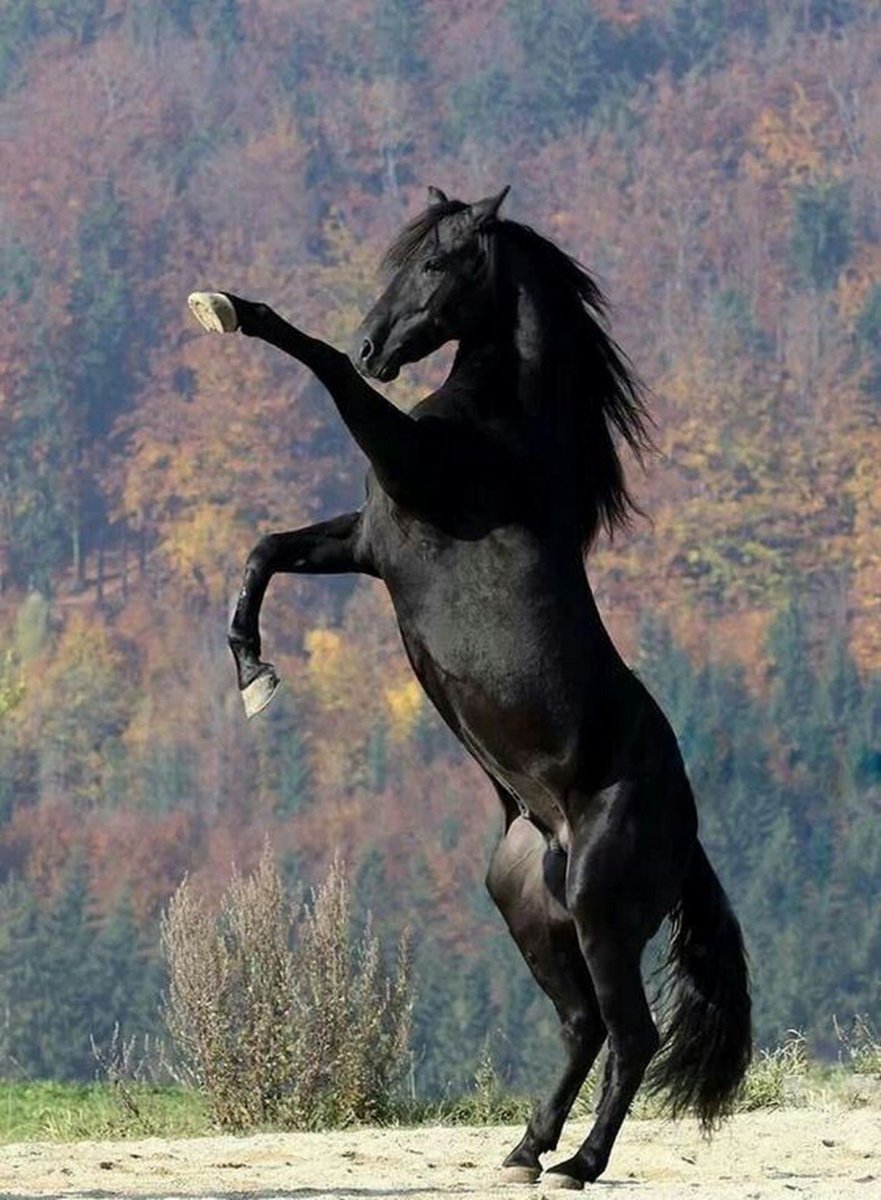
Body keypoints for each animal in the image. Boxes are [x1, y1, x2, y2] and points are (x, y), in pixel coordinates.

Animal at [187, 185, 751, 1189]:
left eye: (440, 262)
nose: (375, 344)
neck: (503, 431)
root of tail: (684, 837)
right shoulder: (369, 542)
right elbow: (265, 549)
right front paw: (253, 673)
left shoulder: (405, 476)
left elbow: (321, 372)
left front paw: (231, 310)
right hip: (527, 904)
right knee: (581, 1024)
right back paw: (524, 1150)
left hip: (601, 911)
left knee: (632, 1034)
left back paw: (578, 1165)